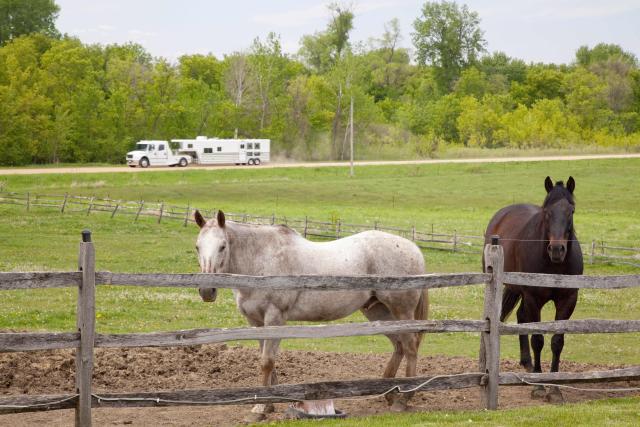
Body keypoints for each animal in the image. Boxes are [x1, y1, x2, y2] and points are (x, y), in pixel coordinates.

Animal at [192, 211, 428, 422]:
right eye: (197, 246)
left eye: (223, 246)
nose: (206, 291)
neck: (261, 260)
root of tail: (413, 248)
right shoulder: (257, 323)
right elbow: (267, 361)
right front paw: (268, 406)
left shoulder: (275, 319)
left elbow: (267, 362)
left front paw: (258, 409)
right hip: (378, 312)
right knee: (399, 346)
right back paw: (389, 393)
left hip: (401, 311)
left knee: (410, 348)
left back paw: (403, 400)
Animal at [484, 176, 584, 402]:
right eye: (547, 211)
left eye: (571, 211)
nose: (557, 249)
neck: (554, 265)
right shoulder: (533, 297)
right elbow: (537, 339)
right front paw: (539, 387)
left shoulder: (568, 300)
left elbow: (557, 341)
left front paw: (555, 388)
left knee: (521, 317)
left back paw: (528, 364)